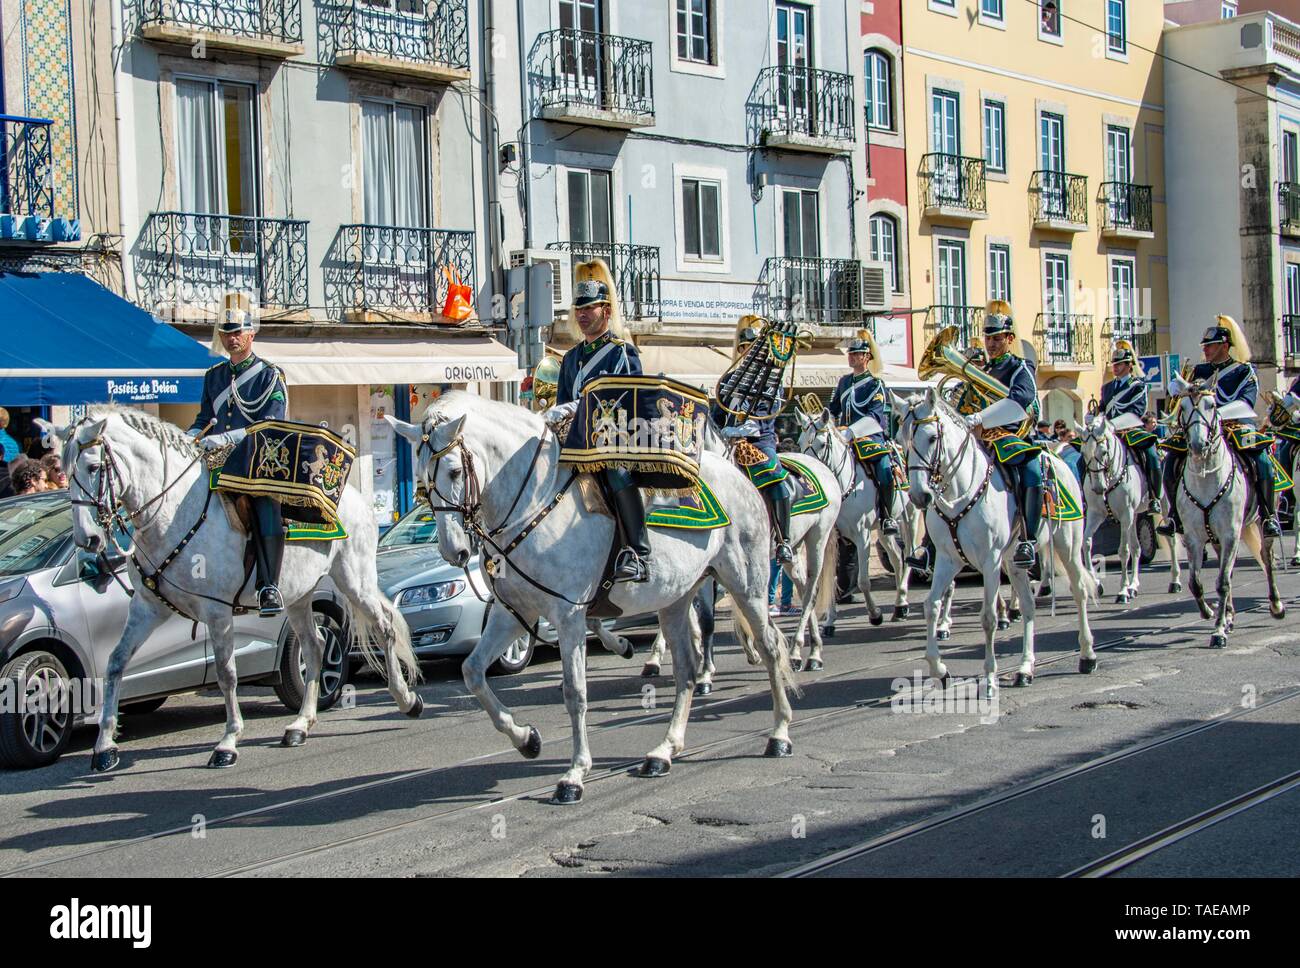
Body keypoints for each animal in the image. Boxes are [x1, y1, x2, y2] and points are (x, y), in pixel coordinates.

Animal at [49, 405, 416, 769]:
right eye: (65, 471)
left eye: (94, 466)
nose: (88, 539)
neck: (173, 512)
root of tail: (355, 496)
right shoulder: (146, 607)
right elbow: (115, 663)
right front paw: (104, 746)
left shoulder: (217, 610)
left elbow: (226, 673)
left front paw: (227, 742)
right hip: (299, 596)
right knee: (314, 648)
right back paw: (300, 725)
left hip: (354, 580)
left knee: (384, 628)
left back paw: (406, 699)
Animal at [382, 389, 800, 805]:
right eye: (421, 481)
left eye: (454, 471)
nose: (454, 552)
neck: (535, 503)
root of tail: (737, 473)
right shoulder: (512, 612)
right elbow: (472, 673)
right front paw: (526, 739)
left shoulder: (567, 615)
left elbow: (575, 692)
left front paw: (574, 774)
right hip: (676, 600)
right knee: (687, 670)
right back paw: (664, 751)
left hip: (747, 584)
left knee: (770, 648)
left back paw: (779, 734)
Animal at [785, 402, 920, 631]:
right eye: (800, 442)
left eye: (822, 444)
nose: (807, 472)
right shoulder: (830, 538)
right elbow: (828, 579)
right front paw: (830, 621)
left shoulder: (862, 535)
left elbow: (863, 581)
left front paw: (875, 615)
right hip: (883, 528)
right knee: (896, 557)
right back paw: (899, 605)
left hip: (910, 516)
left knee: (909, 554)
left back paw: (902, 604)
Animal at [904, 389, 1097, 691]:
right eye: (905, 441)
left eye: (933, 437)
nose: (919, 496)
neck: (960, 493)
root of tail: (1059, 459)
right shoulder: (948, 561)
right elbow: (930, 606)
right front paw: (940, 669)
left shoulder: (990, 560)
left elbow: (989, 618)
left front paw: (990, 677)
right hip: (1015, 562)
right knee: (1028, 606)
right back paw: (1025, 668)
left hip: (1068, 545)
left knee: (1079, 591)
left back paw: (1087, 655)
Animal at [1175, 389, 1284, 644]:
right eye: (1182, 407)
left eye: (1212, 405)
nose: (1198, 445)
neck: (1206, 478)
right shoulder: (1194, 538)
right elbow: (1195, 583)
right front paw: (1211, 613)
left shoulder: (1230, 534)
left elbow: (1223, 583)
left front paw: (1218, 631)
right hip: (1216, 538)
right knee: (1230, 570)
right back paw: (1229, 615)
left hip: (1262, 523)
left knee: (1266, 559)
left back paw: (1275, 605)